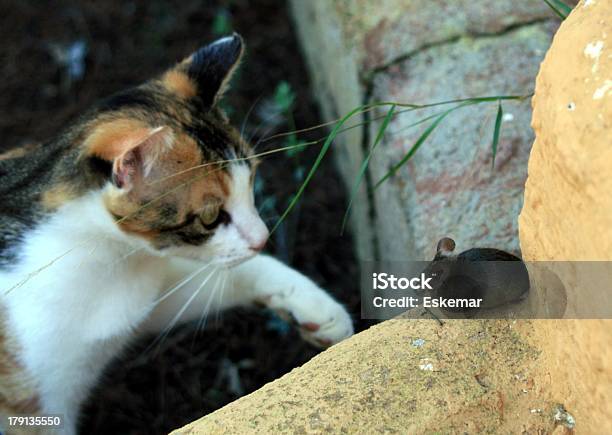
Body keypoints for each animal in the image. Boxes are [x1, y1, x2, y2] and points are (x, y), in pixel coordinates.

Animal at [0, 35, 354, 435]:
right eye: (210, 216)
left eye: (251, 180)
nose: (262, 238)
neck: (109, 259)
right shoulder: (34, 406)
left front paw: (316, 307)